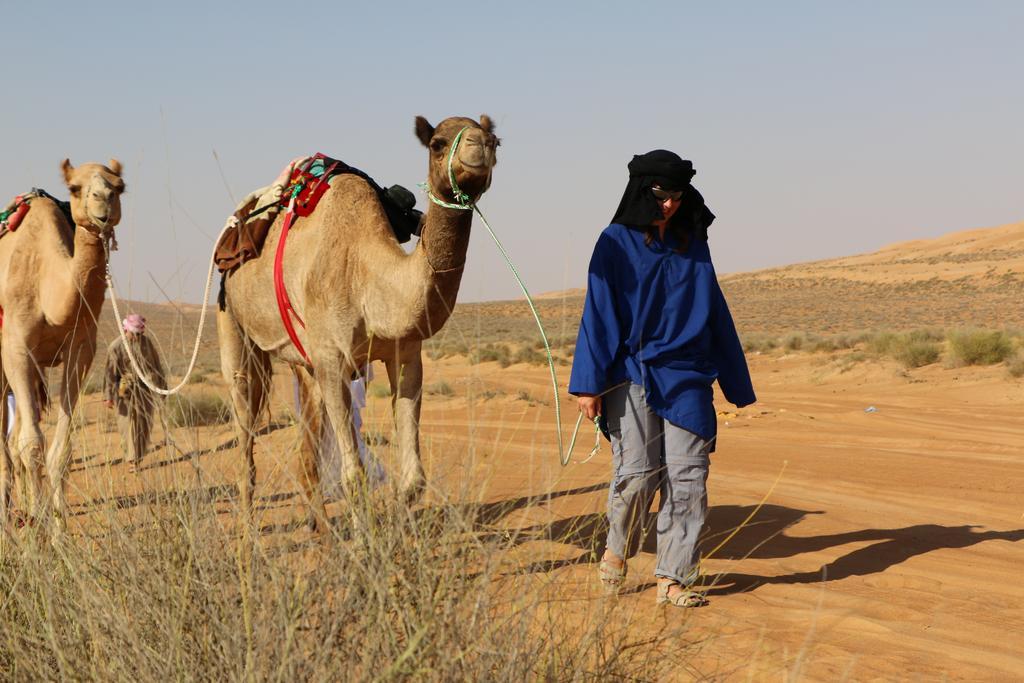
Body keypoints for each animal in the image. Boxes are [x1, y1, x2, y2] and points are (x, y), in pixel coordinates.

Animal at [0, 158, 125, 528]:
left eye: (120, 186)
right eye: (75, 188)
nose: (103, 201)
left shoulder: (81, 351)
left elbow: (60, 451)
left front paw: (57, 530)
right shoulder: (16, 349)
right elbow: (31, 444)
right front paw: (37, 533)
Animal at [220, 114, 499, 528]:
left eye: (497, 141)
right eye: (437, 143)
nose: (479, 145)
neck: (367, 276)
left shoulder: (405, 355)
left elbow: (414, 478)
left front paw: (396, 526)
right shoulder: (332, 357)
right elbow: (354, 475)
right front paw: (362, 538)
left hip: (303, 359)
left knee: (308, 439)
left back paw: (319, 526)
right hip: (233, 323)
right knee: (244, 424)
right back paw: (249, 528)